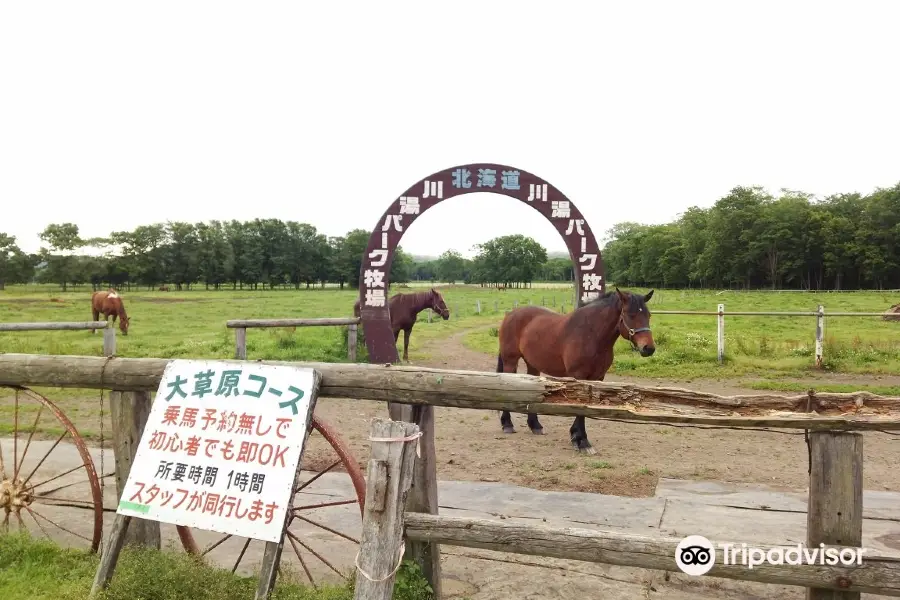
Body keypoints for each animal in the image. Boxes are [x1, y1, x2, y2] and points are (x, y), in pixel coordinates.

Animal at [496, 288, 656, 452]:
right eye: (631, 315)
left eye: (648, 315)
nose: (648, 348)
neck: (591, 334)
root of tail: (511, 314)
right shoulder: (579, 376)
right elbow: (580, 408)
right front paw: (581, 440)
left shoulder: (599, 377)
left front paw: (576, 436)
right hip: (510, 361)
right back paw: (507, 424)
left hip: (533, 364)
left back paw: (535, 426)